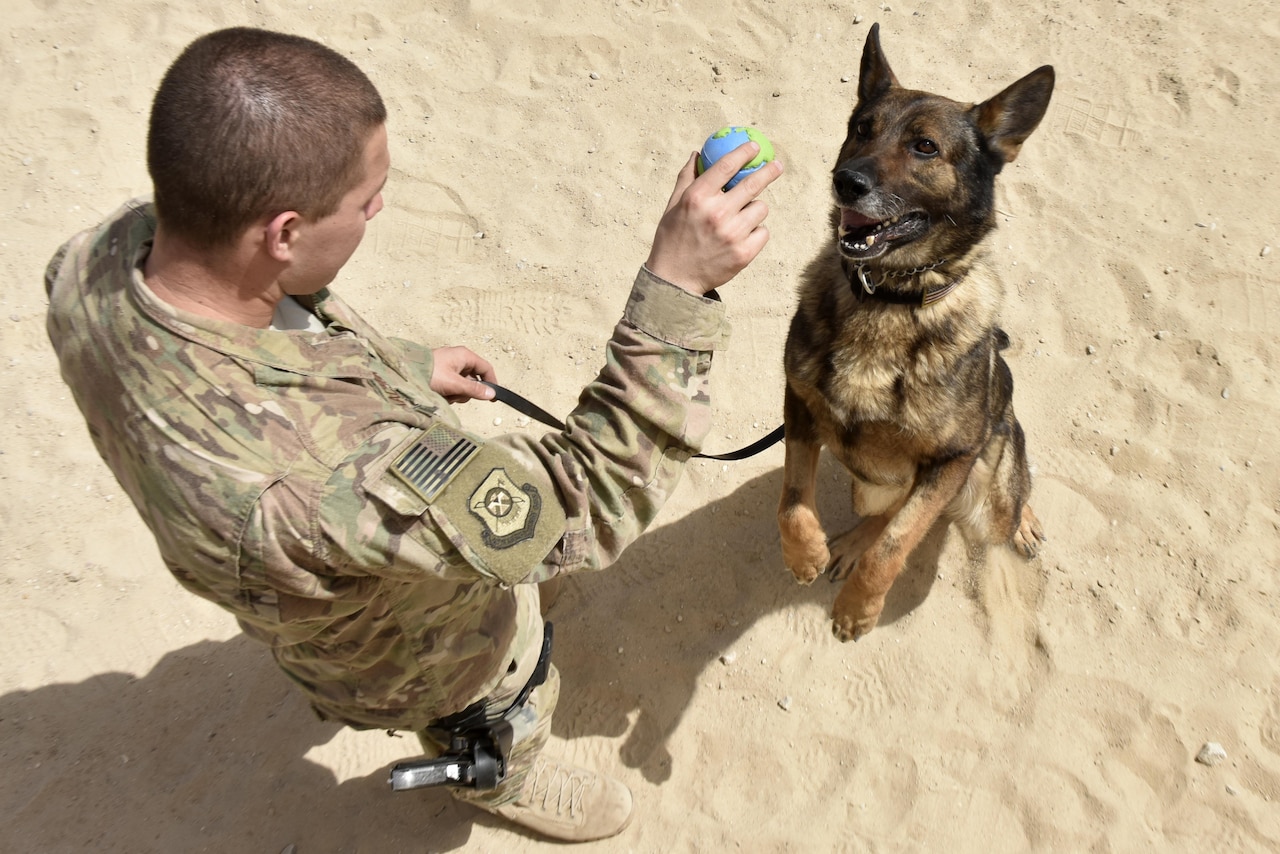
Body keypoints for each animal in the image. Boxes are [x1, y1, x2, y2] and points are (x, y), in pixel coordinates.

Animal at [773, 23, 1054, 640]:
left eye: (925, 146)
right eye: (861, 129)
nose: (845, 182)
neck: (886, 300)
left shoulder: (950, 460)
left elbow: (897, 544)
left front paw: (858, 608)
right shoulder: (798, 406)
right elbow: (793, 499)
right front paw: (804, 554)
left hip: (984, 494)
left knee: (1005, 497)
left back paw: (1023, 520)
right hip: (871, 483)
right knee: (883, 512)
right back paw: (848, 542)